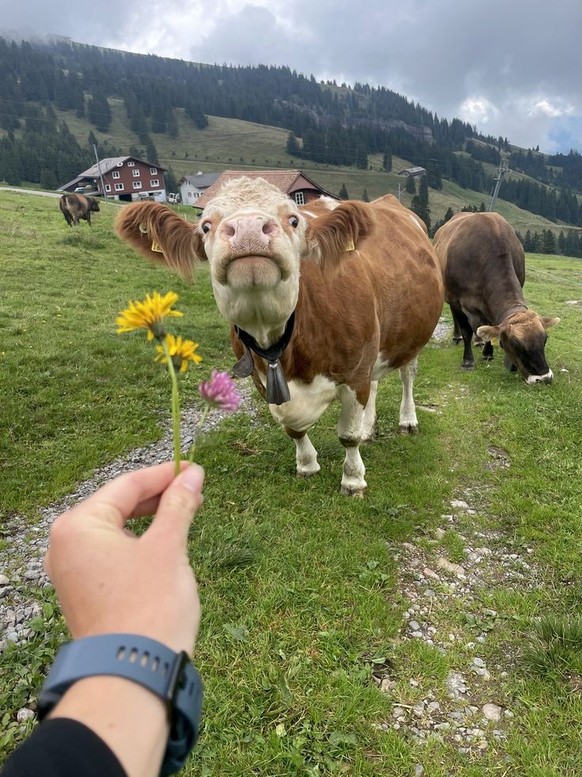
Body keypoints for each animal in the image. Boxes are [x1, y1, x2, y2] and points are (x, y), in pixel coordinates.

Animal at [115, 177, 444, 495]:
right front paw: (307, 465)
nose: (248, 228)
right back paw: (369, 428)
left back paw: (407, 421)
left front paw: (352, 480)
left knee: (407, 375)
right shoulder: (262, 379)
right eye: (206, 225)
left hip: (411, 338)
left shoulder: (353, 373)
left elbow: (348, 436)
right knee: (375, 382)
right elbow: (293, 430)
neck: (280, 347)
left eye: (294, 220)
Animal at [433, 212, 559, 384]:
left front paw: (488, 353)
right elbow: (467, 331)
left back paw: (479, 341)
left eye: (545, 338)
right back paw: (456, 337)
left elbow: (491, 327)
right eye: (516, 344)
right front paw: (468, 361)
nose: (544, 378)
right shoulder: (456, 299)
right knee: (456, 319)